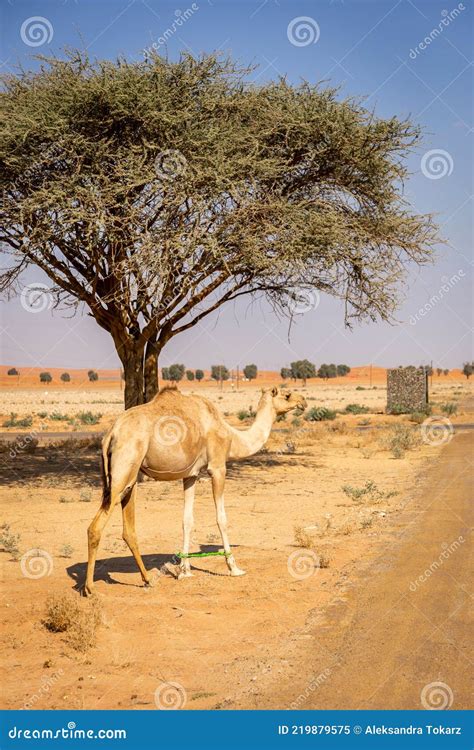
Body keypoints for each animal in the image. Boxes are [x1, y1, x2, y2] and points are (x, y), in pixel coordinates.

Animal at [84, 384, 308, 596]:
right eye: (287, 395)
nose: (303, 401)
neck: (232, 437)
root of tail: (111, 433)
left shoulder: (191, 475)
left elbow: (187, 520)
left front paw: (184, 570)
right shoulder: (217, 467)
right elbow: (221, 518)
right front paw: (234, 567)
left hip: (131, 477)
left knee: (129, 529)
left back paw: (147, 579)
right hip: (124, 469)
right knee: (95, 527)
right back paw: (90, 588)